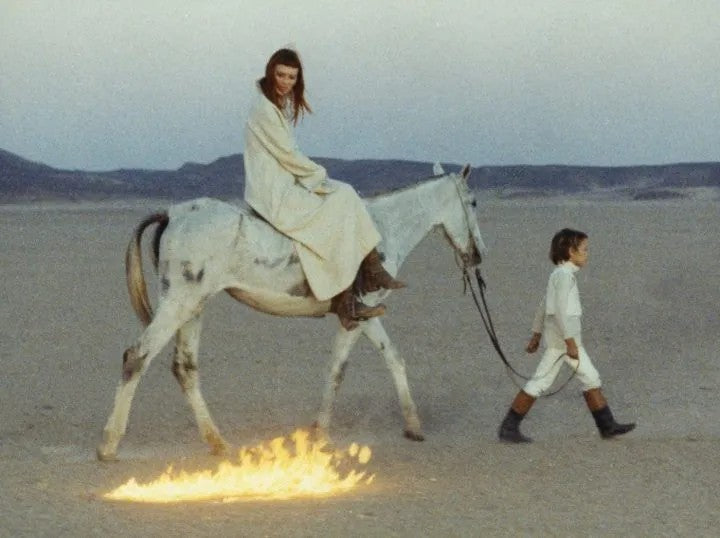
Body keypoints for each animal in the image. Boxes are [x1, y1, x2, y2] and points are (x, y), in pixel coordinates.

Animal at [97, 161, 484, 458]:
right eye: (474, 202)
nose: (478, 255)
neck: (380, 229)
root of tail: (173, 213)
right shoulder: (359, 314)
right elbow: (338, 369)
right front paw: (320, 434)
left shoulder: (365, 313)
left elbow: (394, 359)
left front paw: (413, 427)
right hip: (179, 304)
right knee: (137, 356)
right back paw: (109, 445)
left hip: (194, 308)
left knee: (184, 368)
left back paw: (219, 443)